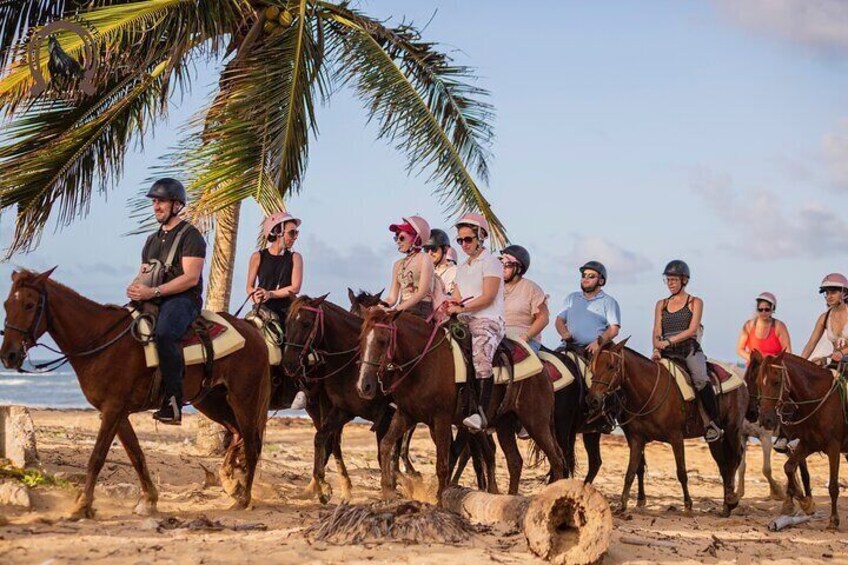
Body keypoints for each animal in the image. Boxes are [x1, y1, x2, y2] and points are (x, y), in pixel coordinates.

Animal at [0, 268, 270, 516]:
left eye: (29, 305)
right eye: (6, 304)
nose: (9, 356)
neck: (101, 342)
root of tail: (253, 331)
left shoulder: (113, 410)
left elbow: (97, 456)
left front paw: (82, 504)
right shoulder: (117, 413)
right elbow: (136, 455)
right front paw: (148, 500)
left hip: (243, 398)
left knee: (252, 443)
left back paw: (243, 498)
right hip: (211, 401)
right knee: (237, 435)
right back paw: (232, 483)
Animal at [354, 308, 568, 498]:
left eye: (382, 341)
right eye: (361, 341)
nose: (364, 386)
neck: (424, 363)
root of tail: (543, 370)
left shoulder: (441, 419)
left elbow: (444, 461)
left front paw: (440, 499)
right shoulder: (406, 415)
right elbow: (385, 444)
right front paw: (387, 491)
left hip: (535, 421)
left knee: (556, 460)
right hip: (504, 423)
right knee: (515, 461)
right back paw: (511, 498)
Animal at [588, 340, 744, 516]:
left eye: (611, 366)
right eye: (593, 366)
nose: (593, 400)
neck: (649, 393)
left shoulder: (676, 437)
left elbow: (681, 472)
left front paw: (688, 505)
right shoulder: (636, 439)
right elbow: (631, 472)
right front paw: (623, 505)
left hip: (732, 429)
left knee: (734, 460)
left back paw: (732, 500)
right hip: (713, 438)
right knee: (723, 466)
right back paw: (726, 506)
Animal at [752, 350, 844, 528]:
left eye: (776, 381)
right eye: (759, 382)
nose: (766, 420)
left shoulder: (834, 448)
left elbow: (833, 486)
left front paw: (834, 520)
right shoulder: (808, 444)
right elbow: (789, 467)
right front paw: (803, 503)